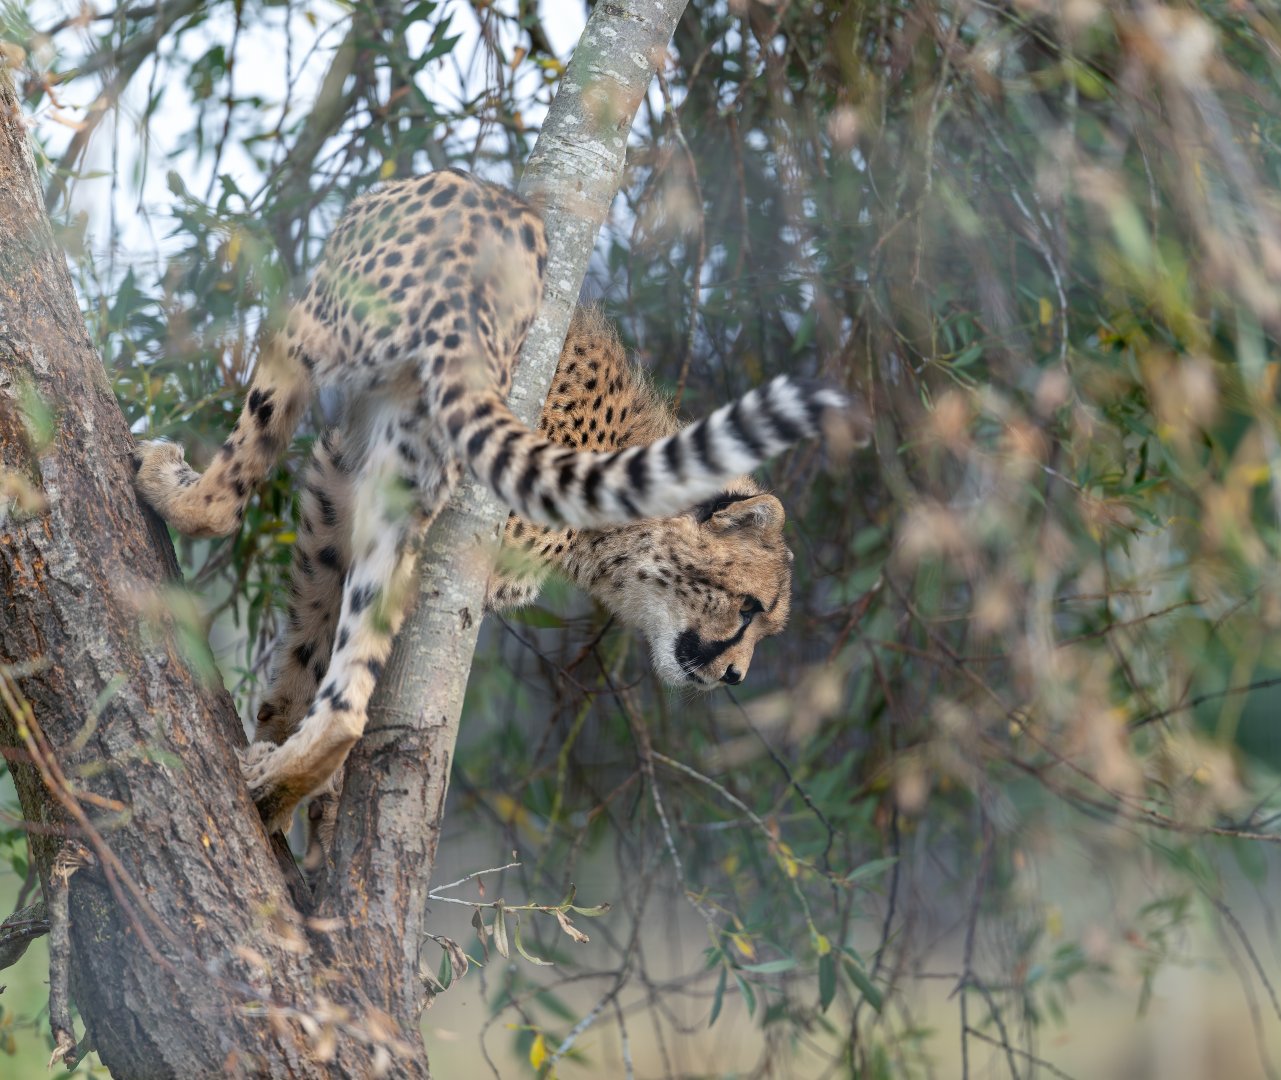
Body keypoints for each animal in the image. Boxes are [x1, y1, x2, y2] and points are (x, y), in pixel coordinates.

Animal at [133, 168, 850, 835]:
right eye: (749, 608)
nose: (734, 677)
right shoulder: (342, 490)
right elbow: (310, 637)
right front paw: (286, 757)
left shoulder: (350, 489)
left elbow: (314, 640)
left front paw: (286, 763)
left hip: (317, 338)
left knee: (231, 517)